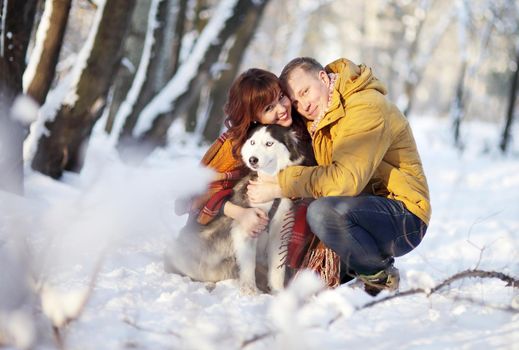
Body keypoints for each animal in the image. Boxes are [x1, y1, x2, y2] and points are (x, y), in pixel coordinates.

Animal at [166, 124, 308, 294]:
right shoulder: (247, 227)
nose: (253, 159)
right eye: (252, 142)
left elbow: (277, 269)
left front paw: (278, 292)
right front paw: (250, 291)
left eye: (269, 143)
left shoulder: (280, 231)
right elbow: (248, 264)